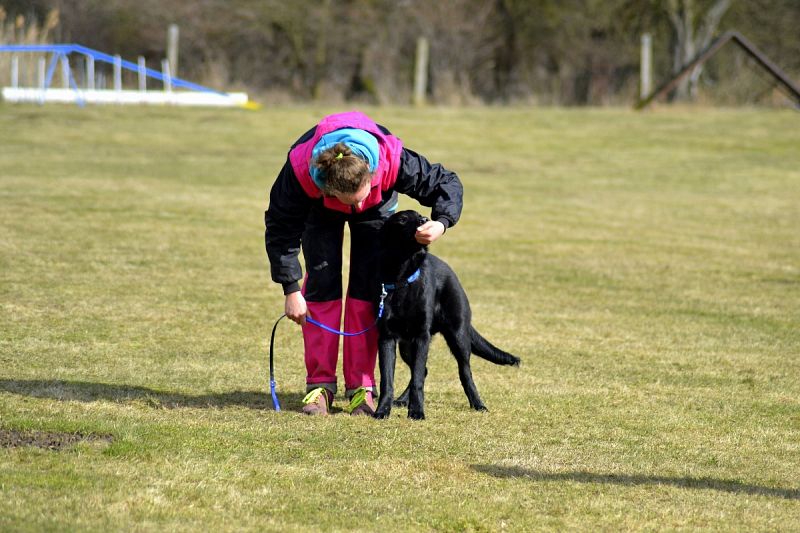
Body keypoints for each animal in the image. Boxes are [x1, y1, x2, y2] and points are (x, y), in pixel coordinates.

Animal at [374, 210, 520, 418]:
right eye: (402, 219)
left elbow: (418, 379)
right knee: (424, 370)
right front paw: (382, 410)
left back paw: (478, 404)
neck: (403, 279)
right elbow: (387, 380)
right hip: (406, 346)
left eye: (419, 214)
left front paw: (416, 412)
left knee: (464, 373)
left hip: (458, 337)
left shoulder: (421, 336)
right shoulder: (387, 337)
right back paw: (402, 400)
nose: (425, 220)